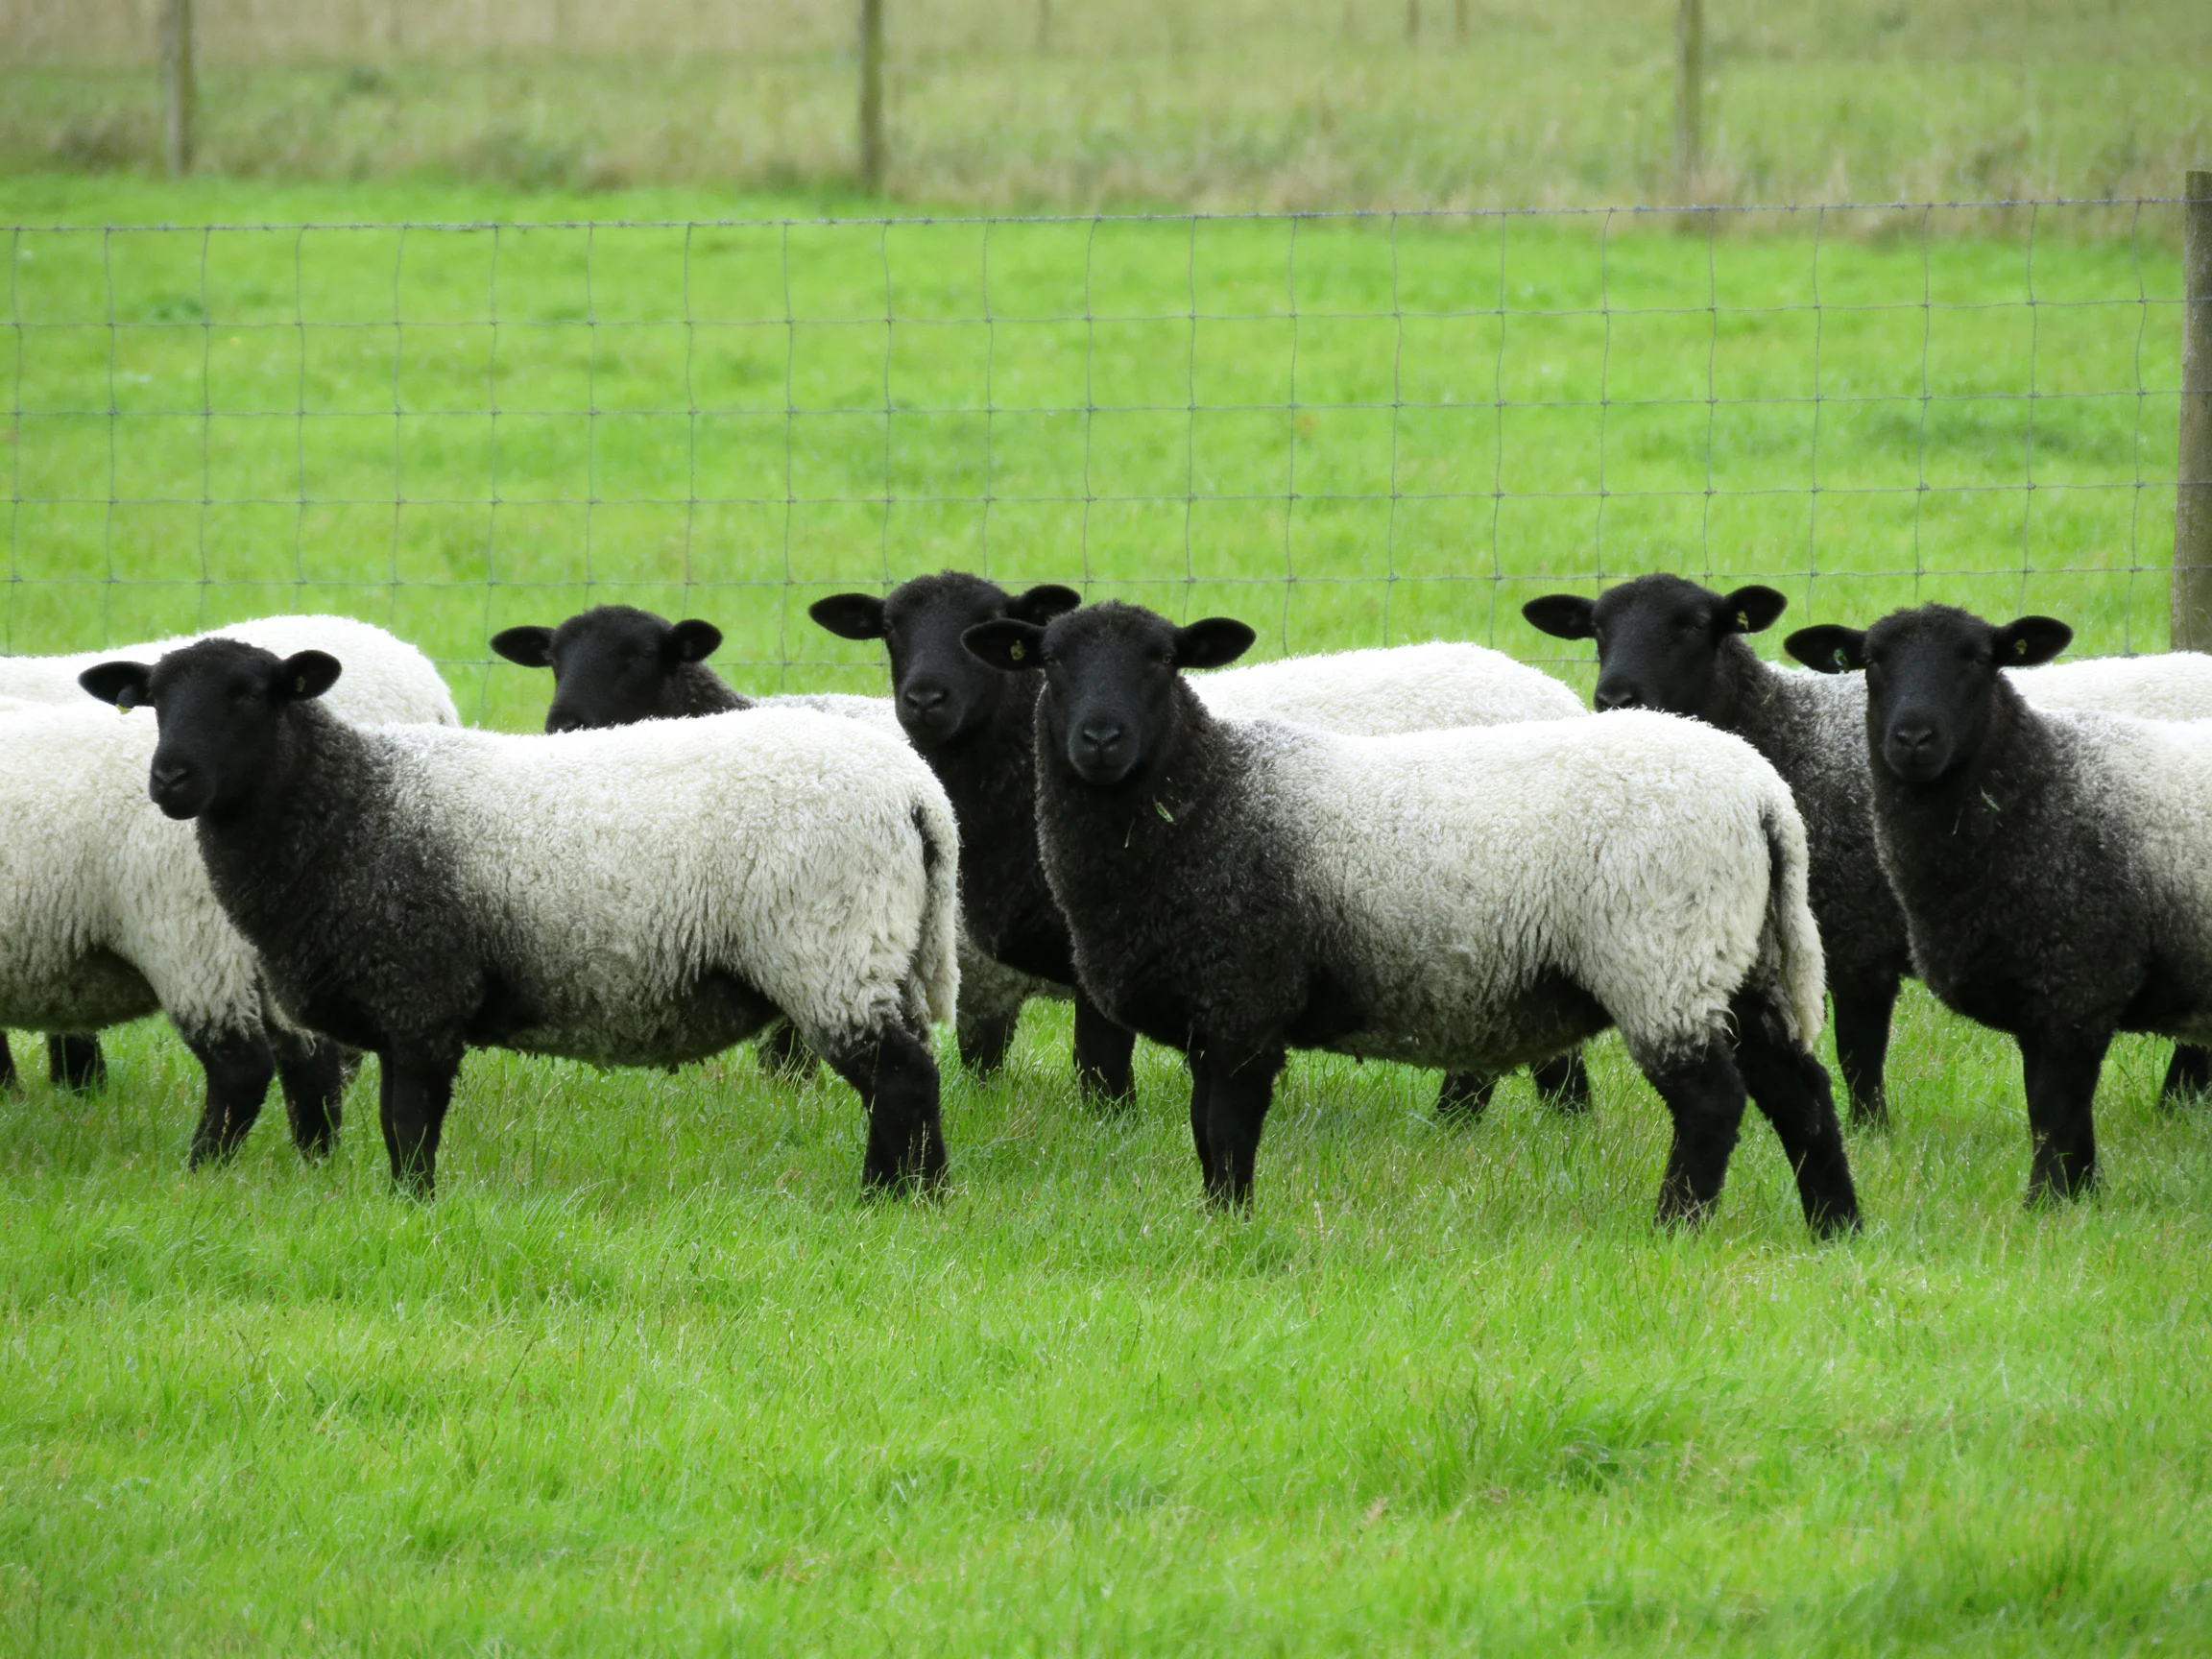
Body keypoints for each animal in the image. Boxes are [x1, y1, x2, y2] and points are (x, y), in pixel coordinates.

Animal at [81, 638, 961, 1198]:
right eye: (153, 702)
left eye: (248, 696)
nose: (171, 779)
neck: (346, 808)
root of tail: (916, 793)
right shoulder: (404, 1007)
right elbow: (398, 1124)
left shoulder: (421, 994)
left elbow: (410, 1124)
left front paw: (413, 1212)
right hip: (876, 945)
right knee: (906, 1075)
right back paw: (917, 1195)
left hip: (830, 942)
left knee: (901, 1078)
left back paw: (892, 1203)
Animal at [810, 572, 1596, 1119]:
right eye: (888, 627)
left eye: (982, 626)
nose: (925, 699)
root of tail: (1552, 690)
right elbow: (987, 1061)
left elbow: (1100, 1063)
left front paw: (1109, 1132)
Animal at [958, 600, 1858, 1232]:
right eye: (1051, 661)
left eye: (1162, 659)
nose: (1099, 739)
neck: (1207, 800)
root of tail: (1760, 794)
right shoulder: (1216, 1016)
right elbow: (1206, 1135)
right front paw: (1220, 1225)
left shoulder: (1246, 1002)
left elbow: (1226, 1131)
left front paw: (1231, 1230)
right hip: (1740, 956)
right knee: (1801, 1092)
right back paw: (1835, 1227)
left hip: (1663, 953)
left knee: (1713, 1102)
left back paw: (1676, 1226)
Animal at [1524, 573, 2212, 1122]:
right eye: (1596, 629)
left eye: (1694, 625)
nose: (1615, 699)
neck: (1786, 732)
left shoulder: (1857, 939)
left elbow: (1858, 1053)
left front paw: (1870, 1132)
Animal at [1780, 604, 2212, 1201]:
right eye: (1871, 661)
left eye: (1979, 659)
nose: (1913, 738)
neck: (2042, 789)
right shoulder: (2037, 1001)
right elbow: (2055, 1115)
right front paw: (2083, 1199)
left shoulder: (2079, 982)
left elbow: (2055, 1110)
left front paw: (2045, 1205)